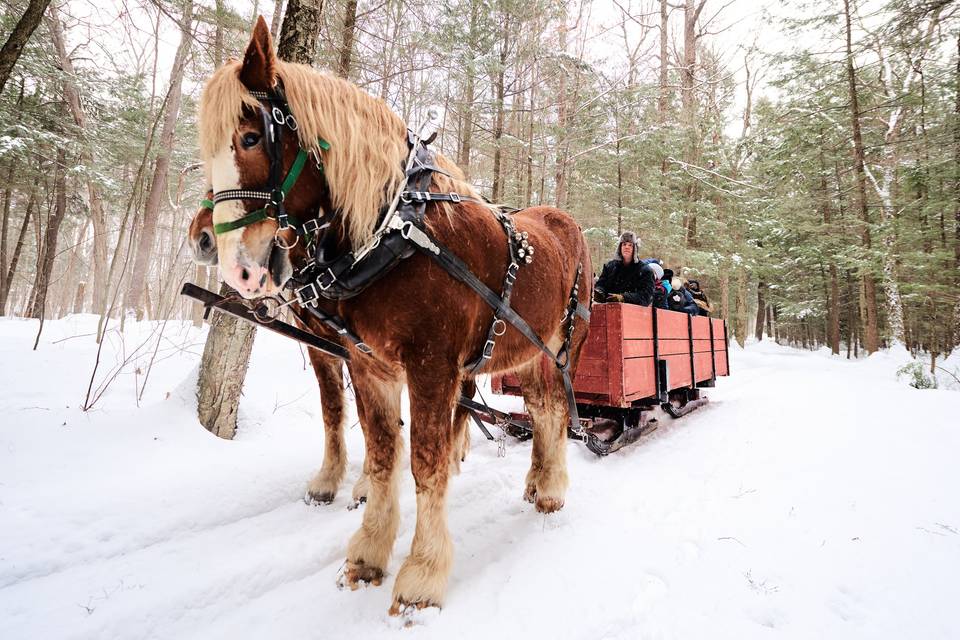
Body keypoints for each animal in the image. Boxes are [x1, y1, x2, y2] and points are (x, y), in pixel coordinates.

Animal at [199, 16, 592, 616]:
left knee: (554, 412)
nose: (235, 267)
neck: (395, 233)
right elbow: (382, 450)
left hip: (560, 346)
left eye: (249, 138)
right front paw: (368, 549)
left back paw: (550, 490)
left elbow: (426, 462)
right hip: (524, 351)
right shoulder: (368, 364)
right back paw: (537, 482)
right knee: (540, 410)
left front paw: (423, 573)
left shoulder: (431, 367)